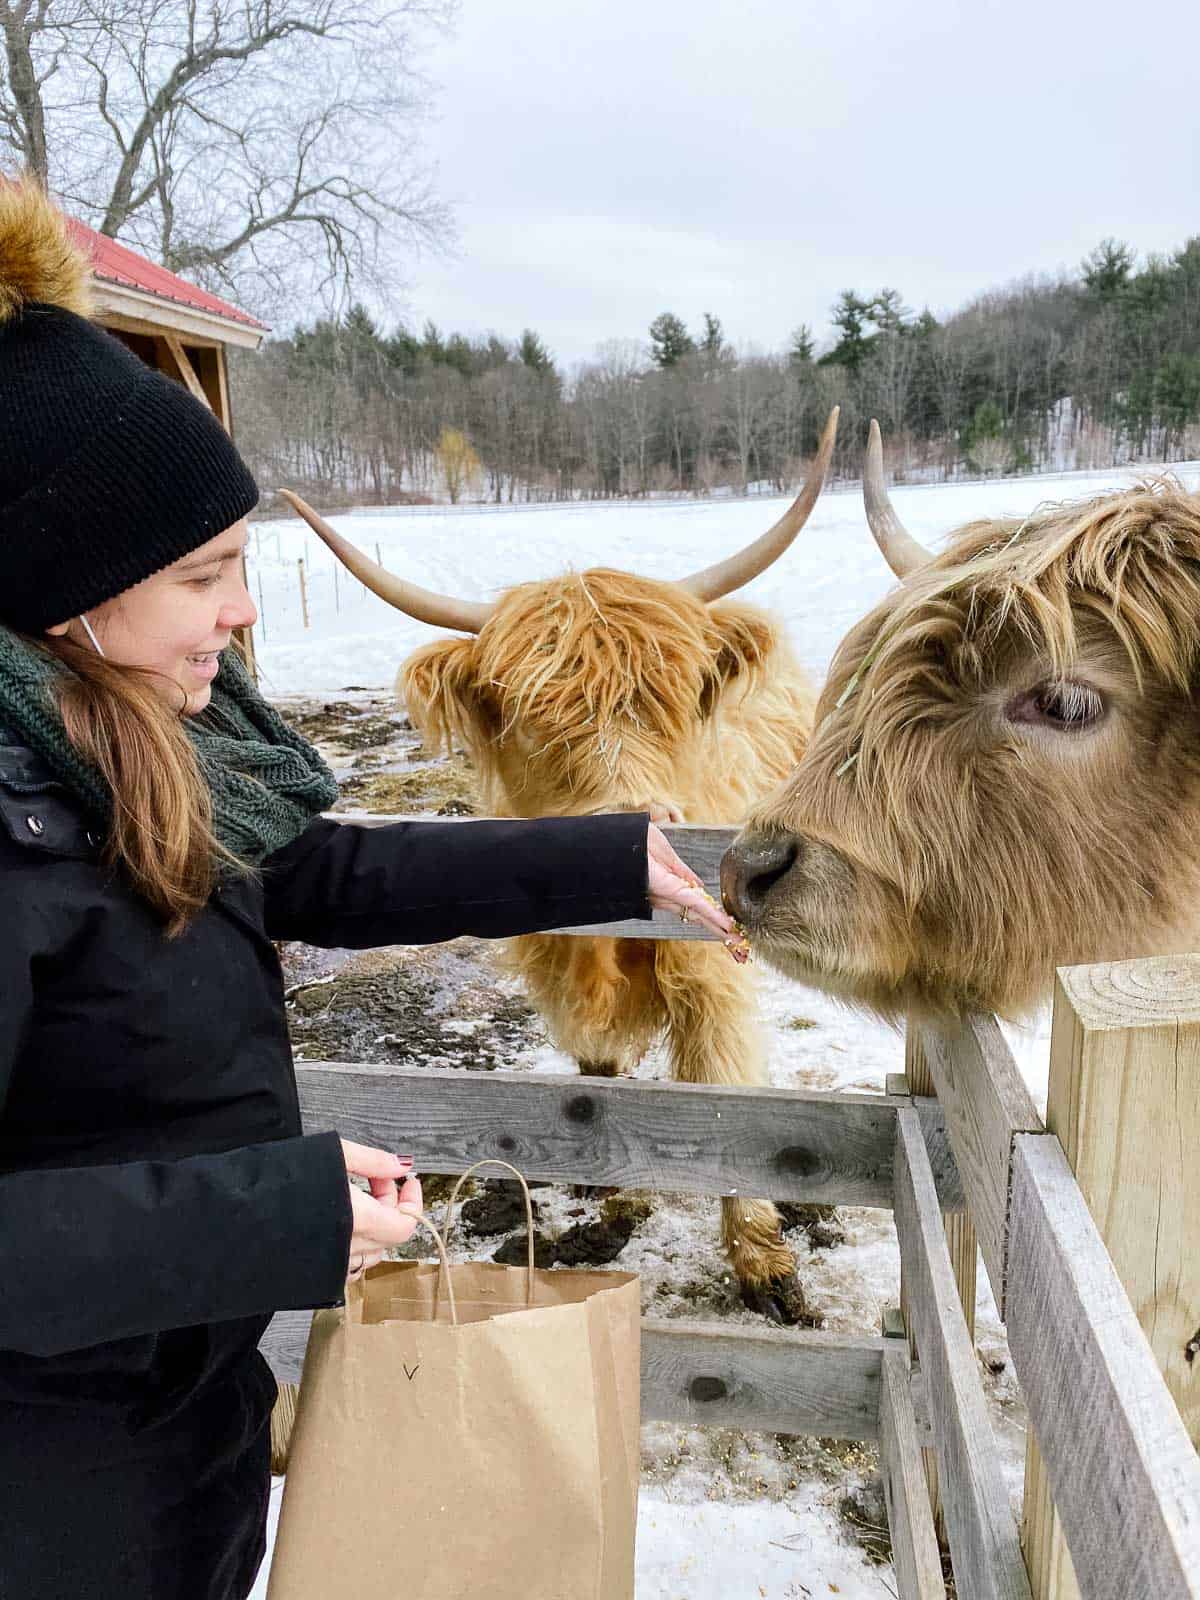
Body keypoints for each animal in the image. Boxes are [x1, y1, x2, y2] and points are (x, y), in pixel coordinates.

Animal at [284, 412, 838, 1324]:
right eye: (527, 713)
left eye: (675, 697)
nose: (648, 828)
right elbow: (598, 1078)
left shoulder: (713, 977)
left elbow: (729, 1098)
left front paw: (765, 1265)